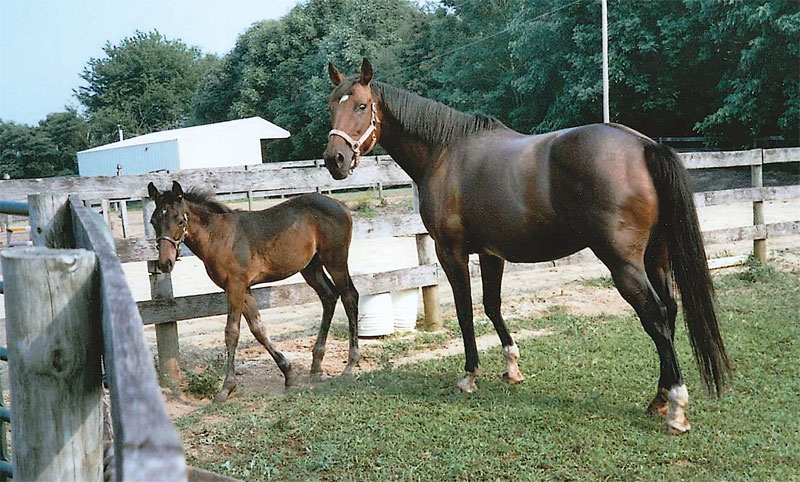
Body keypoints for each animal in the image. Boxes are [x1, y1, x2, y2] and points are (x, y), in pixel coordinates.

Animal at [149, 182, 360, 402]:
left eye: (180, 220)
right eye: (153, 221)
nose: (164, 263)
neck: (219, 235)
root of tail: (341, 205)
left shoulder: (236, 285)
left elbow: (232, 332)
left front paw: (226, 388)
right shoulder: (243, 288)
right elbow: (258, 329)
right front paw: (288, 374)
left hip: (335, 260)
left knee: (349, 296)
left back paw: (350, 364)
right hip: (311, 266)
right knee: (329, 296)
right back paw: (316, 366)